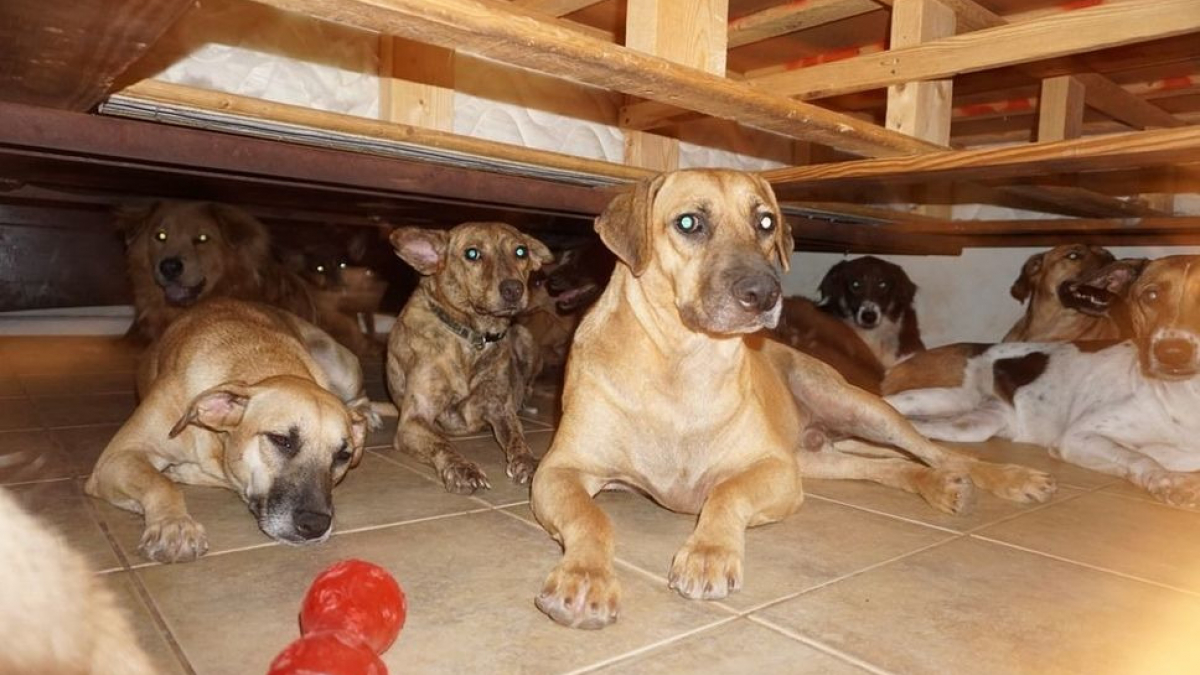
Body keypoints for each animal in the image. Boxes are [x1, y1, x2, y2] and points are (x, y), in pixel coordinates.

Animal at [85, 296, 372, 559]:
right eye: (281, 440)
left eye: (343, 456)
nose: (315, 525)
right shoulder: (118, 456)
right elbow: (161, 482)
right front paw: (174, 524)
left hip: (342, 367)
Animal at [386, 223, 549, 492]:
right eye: (472, 254)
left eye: (521, 251)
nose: (514, 289)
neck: (472, 336)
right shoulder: (414, 419)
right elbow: (442, 443)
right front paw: (462, 468)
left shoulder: (501, 409)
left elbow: (517, 438)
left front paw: (527, 462)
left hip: (525, 337)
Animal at [530, 170, 1056, 629]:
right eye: (689, 223)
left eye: (765, 222)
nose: (765, 294)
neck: (679, 365)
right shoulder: (559, 470)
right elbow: (592, 516)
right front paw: (585, 579)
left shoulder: (774, 469)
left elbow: (726, 493)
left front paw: (709, 554)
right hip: (818, 458)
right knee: (887, 466)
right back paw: (940, 486)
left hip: (859, 408)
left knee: (940, 452)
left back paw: (1005, 478)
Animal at [883, 254, 1200, 506]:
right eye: (1151, 296)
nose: (1172, 352)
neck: (1187, 396)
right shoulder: (1080, 436)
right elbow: (1141, 458)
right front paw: (1167, 480)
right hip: (942, 397)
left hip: (974, 424)